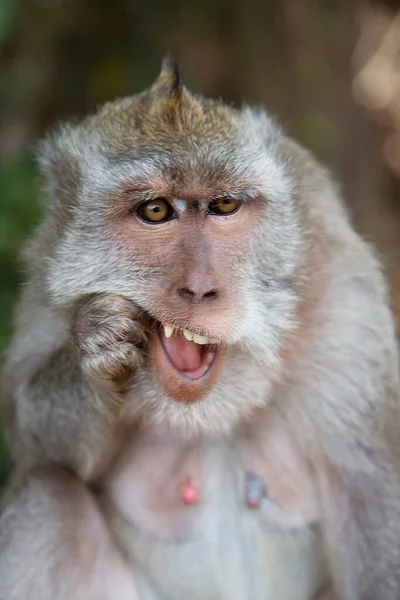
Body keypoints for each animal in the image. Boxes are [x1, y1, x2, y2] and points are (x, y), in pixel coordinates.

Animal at [0, 55, 400, 596]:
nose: (201, 289)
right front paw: (98, 342)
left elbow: (370, 491)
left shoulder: (344, 305)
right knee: (48, 496)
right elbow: (31, 436)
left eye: (225, 205)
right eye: (155, 210)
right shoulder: (46, 276)